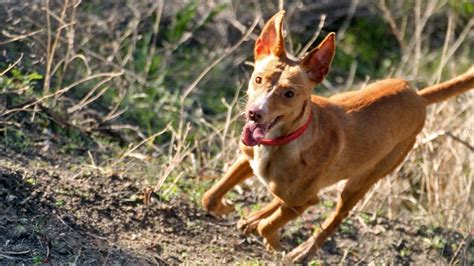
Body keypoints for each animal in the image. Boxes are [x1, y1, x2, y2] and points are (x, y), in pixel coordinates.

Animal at [201, 10, 474, 262]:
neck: (282, 142)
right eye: (258, 79)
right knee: (283, 199)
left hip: (361, 182)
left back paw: (303, 251)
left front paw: (274, 243)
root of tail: (419, 96)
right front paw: (227, 207)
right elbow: (210, 197)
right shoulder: (247, 160)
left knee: (332, 219)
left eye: (289, 94)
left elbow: (269, 226)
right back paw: (256, 218)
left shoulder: (304, 200)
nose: (254, 113)